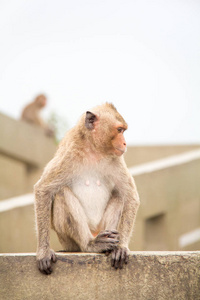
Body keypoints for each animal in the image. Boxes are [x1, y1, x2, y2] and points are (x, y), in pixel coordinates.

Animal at [34, 102, 140, 274]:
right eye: (119, 130)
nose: (125, 143)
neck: (94, 150)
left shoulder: (117, 160)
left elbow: (130, 196)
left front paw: (121, 247)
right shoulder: (67, 155)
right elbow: (43, 189)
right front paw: (43, 252)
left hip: (101, 227)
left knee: (119, 195)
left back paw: (109, 244)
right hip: (68, 241)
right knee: (62, 193)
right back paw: (90, 244)